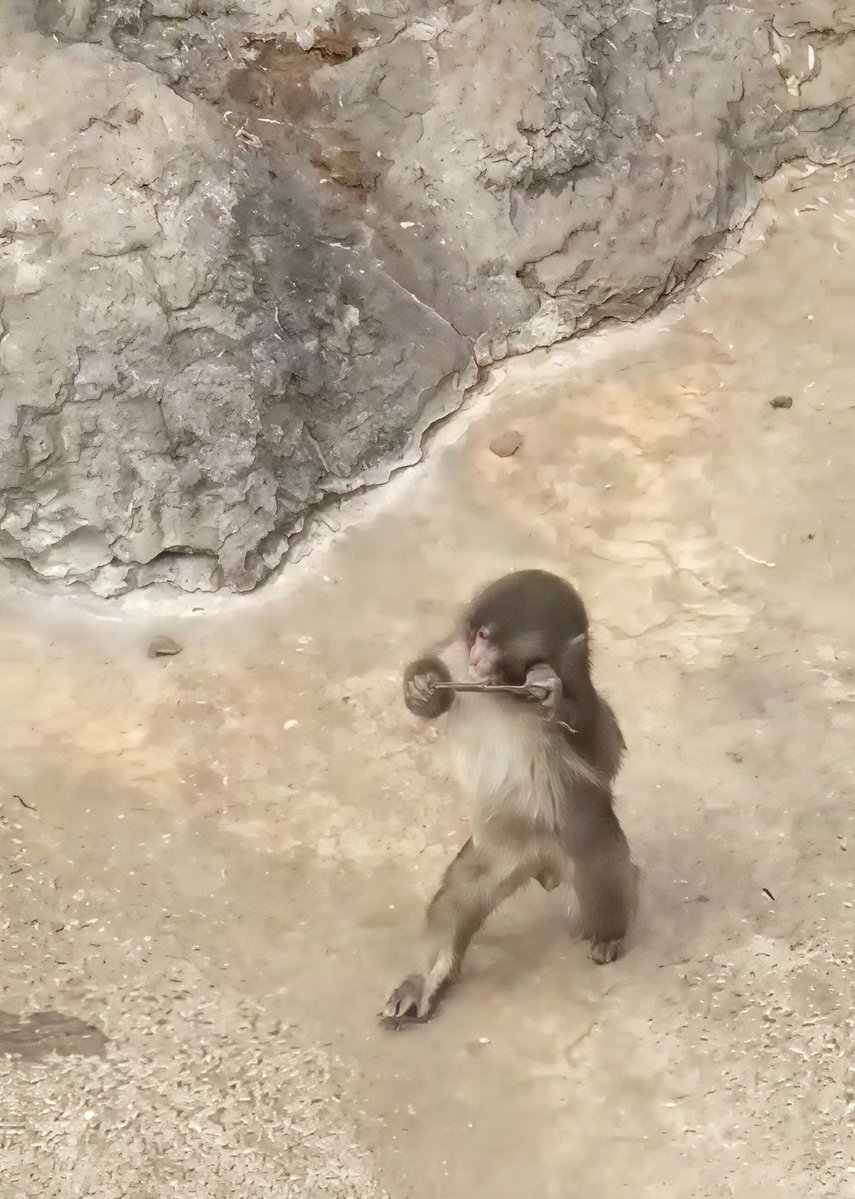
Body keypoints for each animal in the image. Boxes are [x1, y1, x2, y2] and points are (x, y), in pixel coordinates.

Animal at [381, 568, 638, 1026]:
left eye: (489, 639)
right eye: (477, 635)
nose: (476, 656)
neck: (503, 686)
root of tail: (542, 865)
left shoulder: (578, 682)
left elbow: (602, 753)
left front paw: (548, 692)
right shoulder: (455, 660)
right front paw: (420, 687)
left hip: (585, 835)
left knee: (603, 872)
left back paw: (610, 933)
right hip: (499, 853)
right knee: (459, 896)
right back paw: (425, 980)